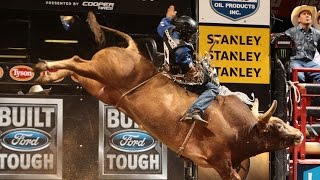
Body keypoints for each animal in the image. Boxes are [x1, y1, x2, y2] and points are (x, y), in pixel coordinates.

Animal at [33, 11, 302, 179]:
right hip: (100, 71)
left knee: (76, 70)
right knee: (77, 61)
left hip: (101, 88)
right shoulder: (221, 163)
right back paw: (43, 66)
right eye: (276, 126)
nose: (298, 134)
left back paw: (48, 75)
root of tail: (132, 50)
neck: (238, 127)